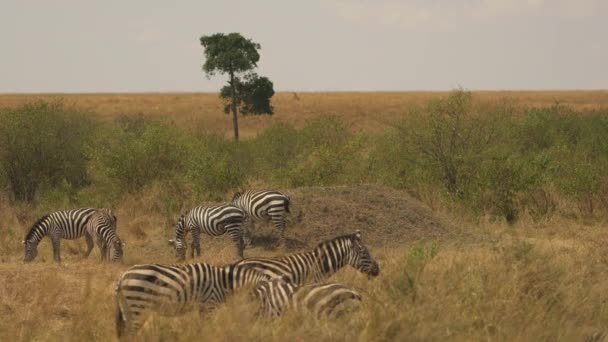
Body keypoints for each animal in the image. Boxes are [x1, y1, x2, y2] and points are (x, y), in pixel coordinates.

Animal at [116, 262, 270, 336]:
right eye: (267, 294)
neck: (225, 282)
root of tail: (123, 275)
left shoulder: (203, 307)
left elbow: (201, 328)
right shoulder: (210, 305)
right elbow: (206, 327)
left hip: (127, 308)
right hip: (138, 305)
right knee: (132, 333)